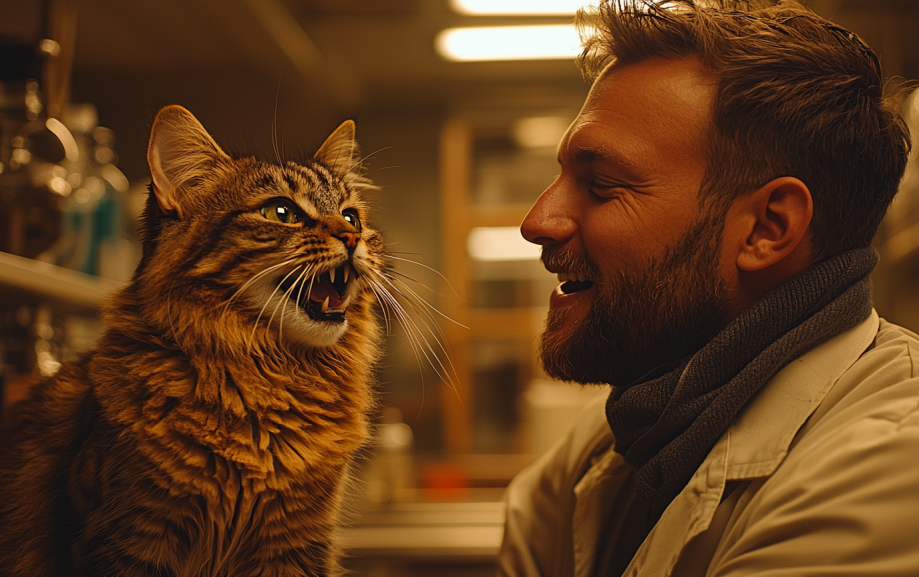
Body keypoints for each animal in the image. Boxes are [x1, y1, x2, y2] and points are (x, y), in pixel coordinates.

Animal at [0, 104, 388, 576]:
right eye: (281, 213)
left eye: (352, 217)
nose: (353, 238)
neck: (276, 377)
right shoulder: (131, 537)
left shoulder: (296, 546)